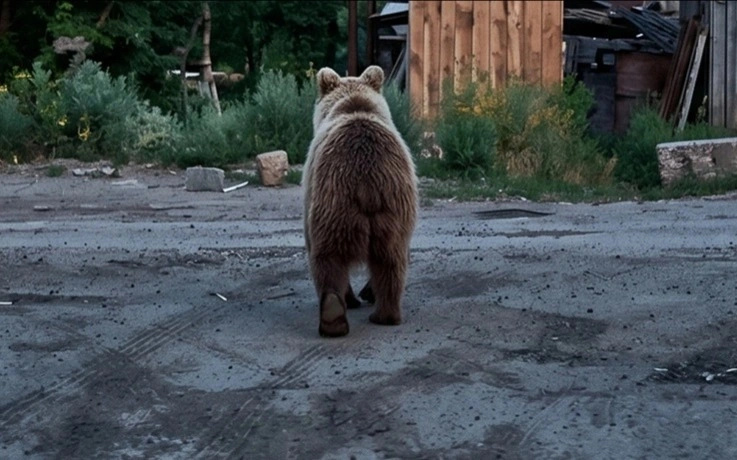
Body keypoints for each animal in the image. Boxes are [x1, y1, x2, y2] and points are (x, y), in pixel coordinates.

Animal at [302, 65, 418, 338]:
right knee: (392, 260)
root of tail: (366, 178)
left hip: (331, 204)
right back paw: (384, 314)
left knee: (328, 259)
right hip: (394, 207)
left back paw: (336, 311)